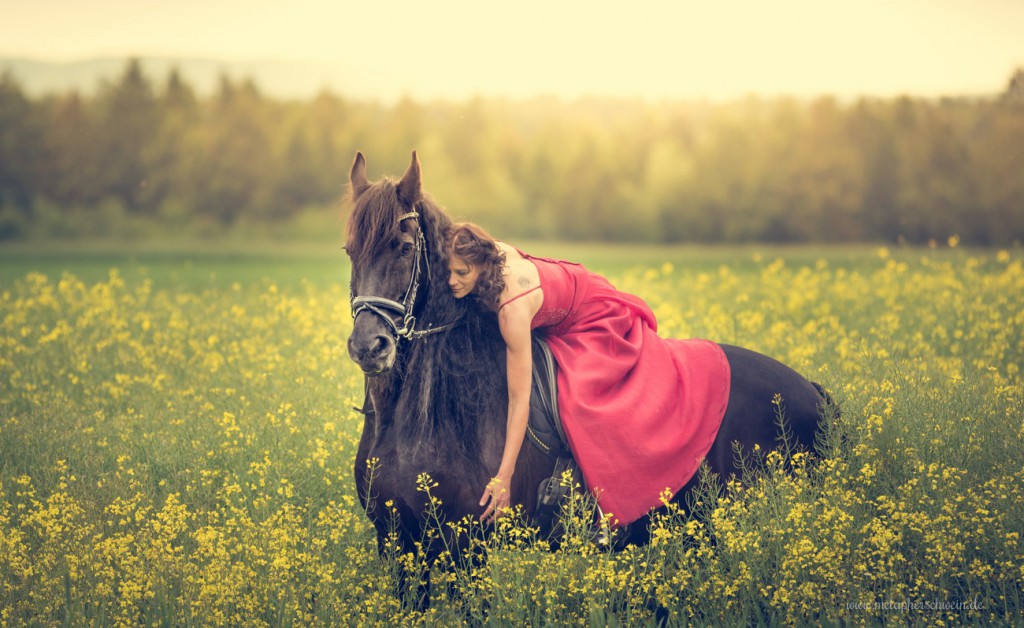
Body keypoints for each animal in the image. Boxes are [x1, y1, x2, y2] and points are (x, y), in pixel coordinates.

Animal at [344, 150, 831, 602]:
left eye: (405, 248)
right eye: (350, 250)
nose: (369, 346)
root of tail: (811, 392)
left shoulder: (467, 547)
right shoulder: (398, 543)